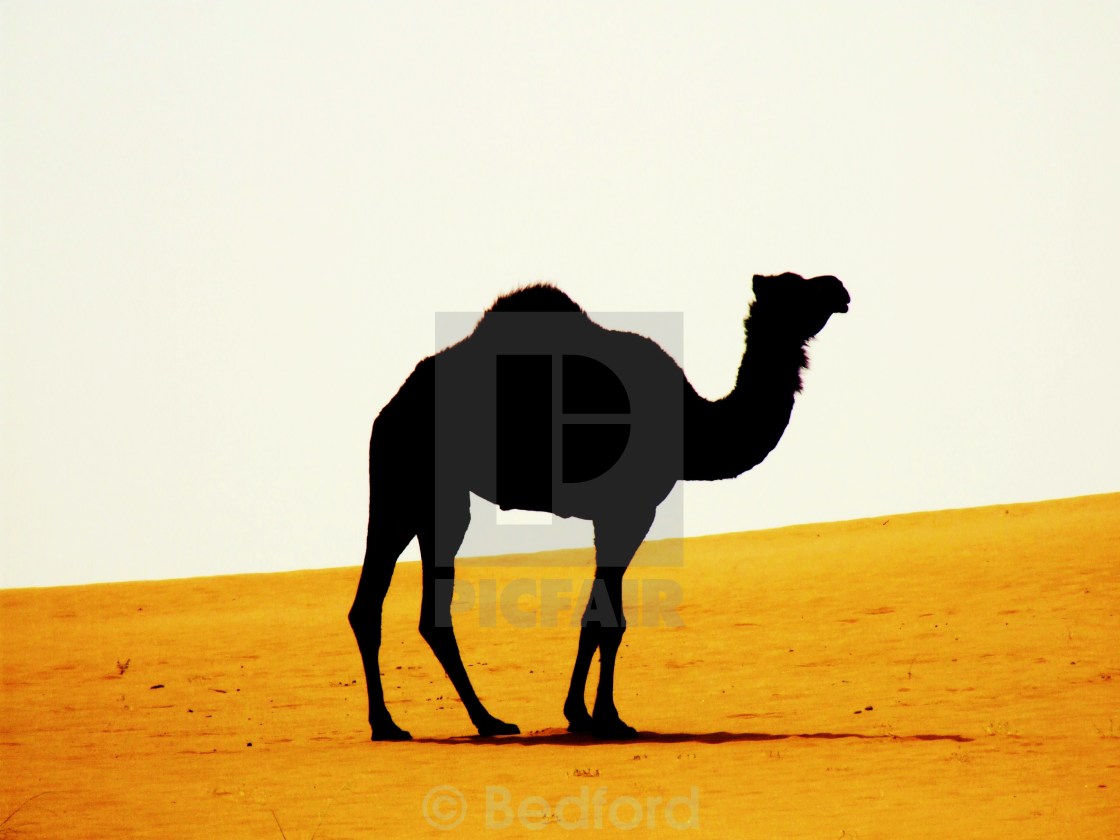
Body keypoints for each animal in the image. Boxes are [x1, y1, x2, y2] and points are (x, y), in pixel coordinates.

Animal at [348, 272, 850, 740]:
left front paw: (582, 714)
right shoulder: (629, 509)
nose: (839, 288)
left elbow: (598, 614)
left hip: (425, 498)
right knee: (391, 605)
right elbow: (610, 619)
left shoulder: (615, 514)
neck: (691, 426)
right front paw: (607, 718)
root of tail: (387, 411)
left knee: (396, 609)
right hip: (413, 483)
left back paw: (464, 720)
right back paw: (412, 723)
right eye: (794, 287)